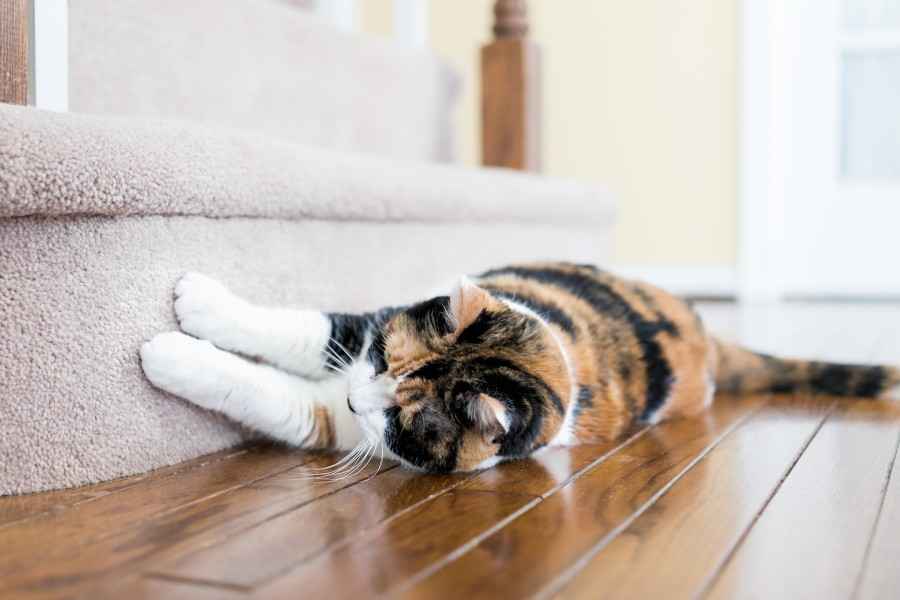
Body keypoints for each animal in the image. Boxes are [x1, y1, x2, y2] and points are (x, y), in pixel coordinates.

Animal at [139, 262, 900, 474]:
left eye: (403, 420)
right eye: (384, 357)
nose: (360, 403)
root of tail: (709, 341)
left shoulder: (344, 422)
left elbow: (281, 397)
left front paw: (168, 352)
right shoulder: (363, 329)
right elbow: (306, 328)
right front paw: (199, 302)